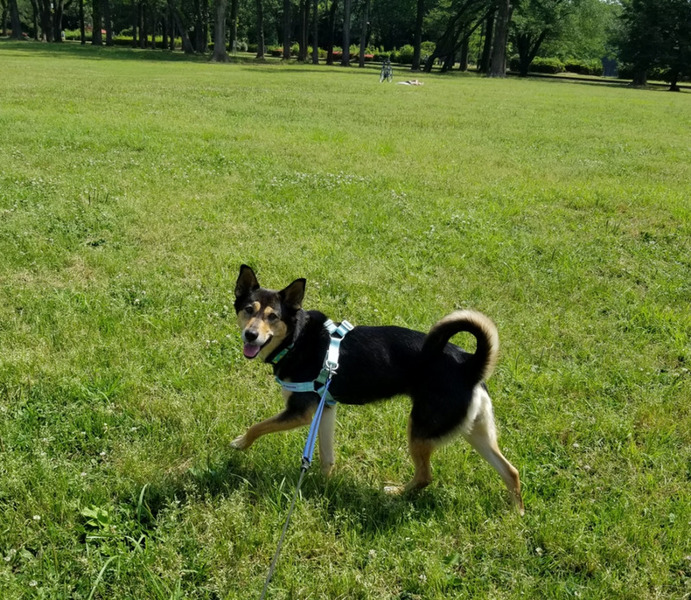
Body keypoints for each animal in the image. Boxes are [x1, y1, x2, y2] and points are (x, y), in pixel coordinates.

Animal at [231, 265, 524, 513]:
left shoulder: (301, 412)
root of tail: (469, 364)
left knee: (425, 476)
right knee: (511, 471)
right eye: (248, 310)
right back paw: (516, 514)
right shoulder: (325, 409)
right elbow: (326, 456)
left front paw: (239, 444)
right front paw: (322, 485)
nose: (250, 335)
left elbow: (257, 426)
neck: (297, 338)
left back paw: (395, 493)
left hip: (421, 428)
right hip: (475, 431)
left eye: (273, 316)